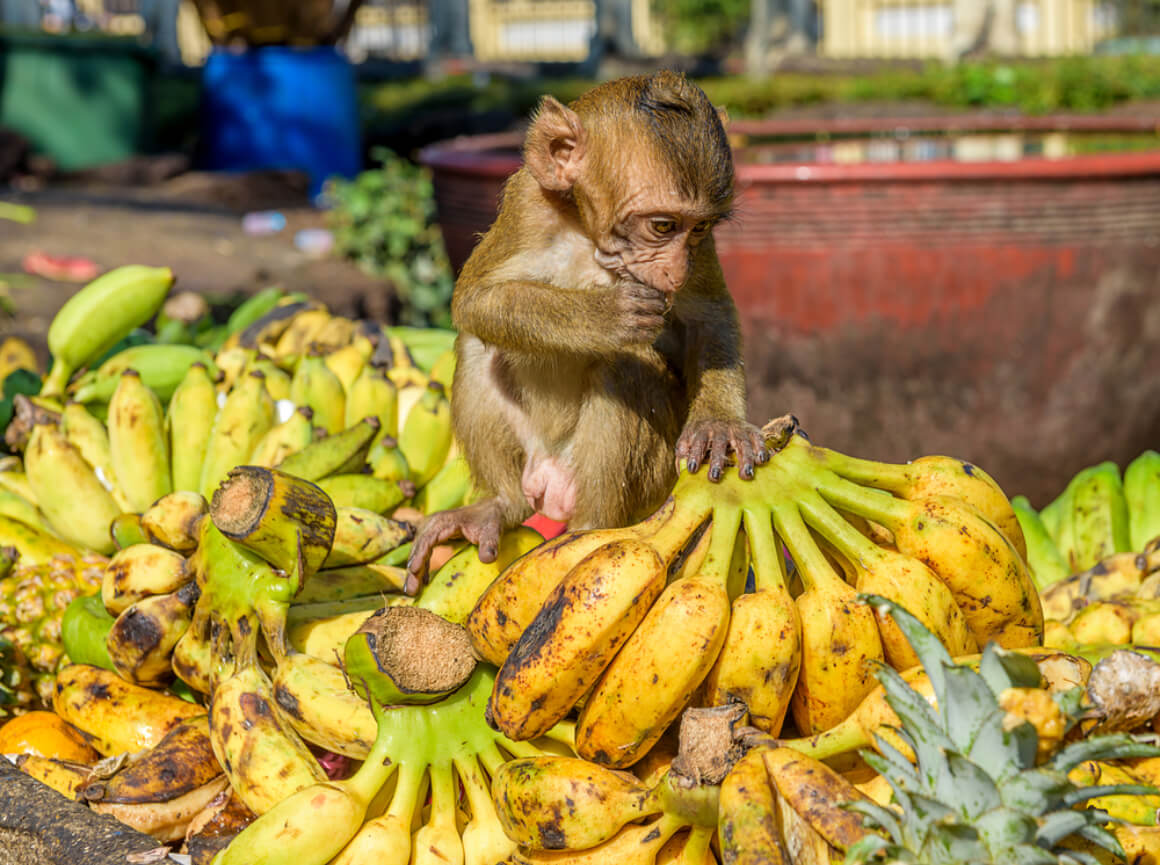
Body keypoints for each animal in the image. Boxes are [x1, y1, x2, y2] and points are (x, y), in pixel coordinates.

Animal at [408, 70, 770, 589]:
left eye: (699, 229)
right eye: (663, 226)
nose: (676, 270)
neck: (586, 233)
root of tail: (550, 482)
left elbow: (708, 314)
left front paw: (718, 423)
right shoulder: (526, 203)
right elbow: (474, 301)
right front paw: (605, 315)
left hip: (652, 482)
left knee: (624, 369)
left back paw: (591, 534)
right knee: (481, 348)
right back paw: (501, 505)